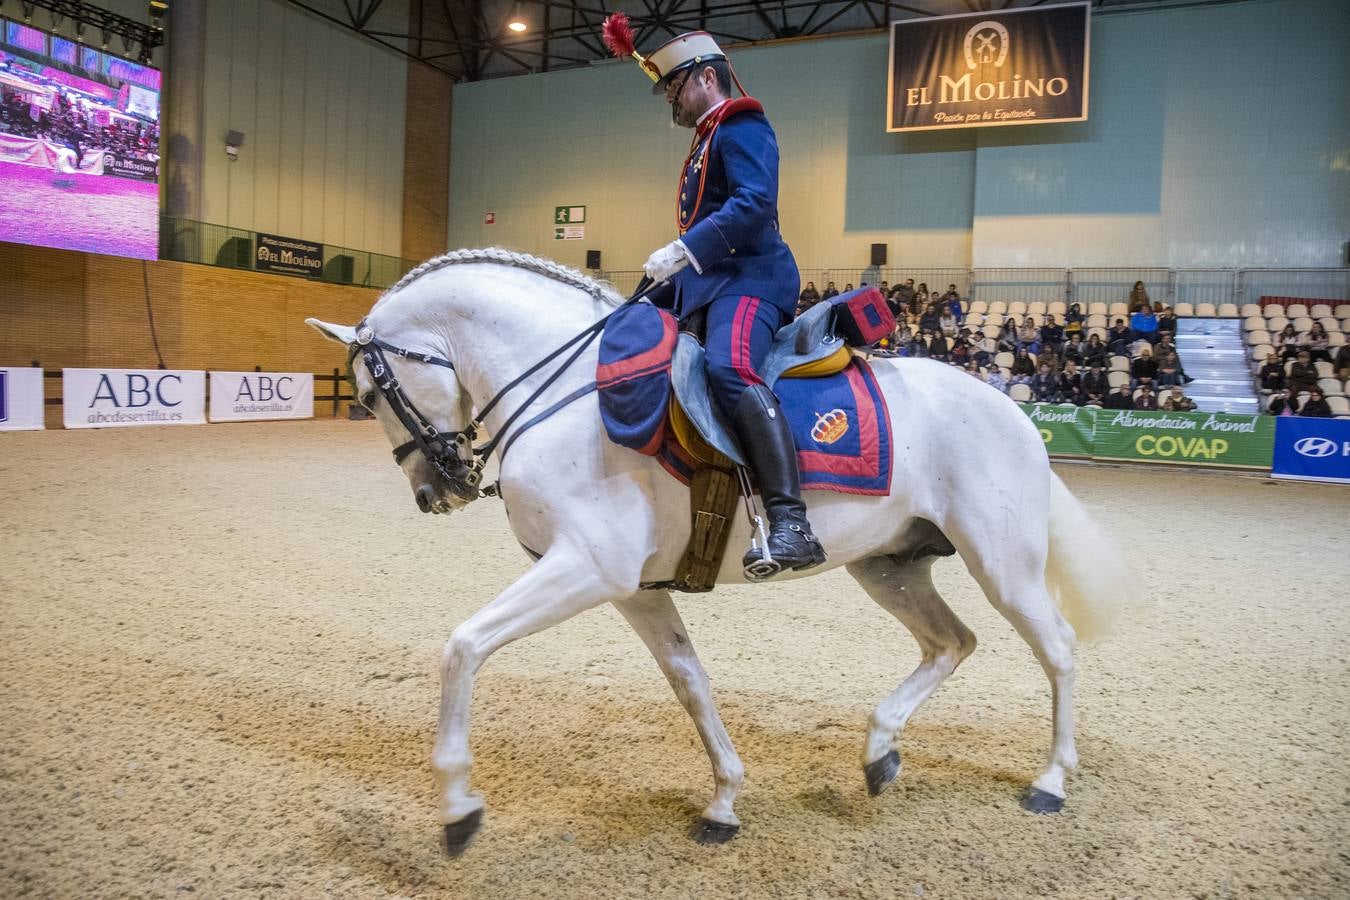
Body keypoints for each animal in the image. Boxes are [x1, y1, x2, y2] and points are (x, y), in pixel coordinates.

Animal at [309, 248, 1139, 858]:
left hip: (1003, 563)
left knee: (1057, 650)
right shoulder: (634, 588)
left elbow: (463, 646)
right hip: (889, 566)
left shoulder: (586, 568)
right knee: (951, 642)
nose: (435, 492)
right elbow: (691, 685)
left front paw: (457, 805)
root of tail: (1012, 407)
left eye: (371, 394)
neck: (571, 392)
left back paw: (1050, 781)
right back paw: (879, 751)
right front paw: (725, 801)